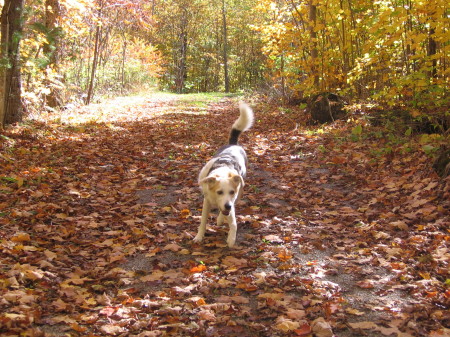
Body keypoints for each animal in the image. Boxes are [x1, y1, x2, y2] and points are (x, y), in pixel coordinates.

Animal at [192, 101, 253, 245]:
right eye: (219, 192)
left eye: (231, 192)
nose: (228, 206)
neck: (223, 170)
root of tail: (233, 144)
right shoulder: (207, 201)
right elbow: (203, 221)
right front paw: (199, 236)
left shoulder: (232, 200)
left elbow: (233, 223)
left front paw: (231, 238)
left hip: (239, 192)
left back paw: (221, 219)